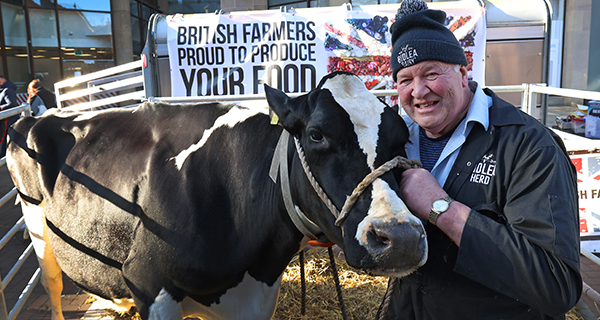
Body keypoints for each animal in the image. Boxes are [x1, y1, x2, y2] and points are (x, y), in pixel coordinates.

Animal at [5, 72, 426, 320]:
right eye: (316, 135)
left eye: (403, 137)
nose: (401, 238)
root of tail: (36, 116)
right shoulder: (148, 283)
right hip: (38, 228)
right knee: (53, 284)